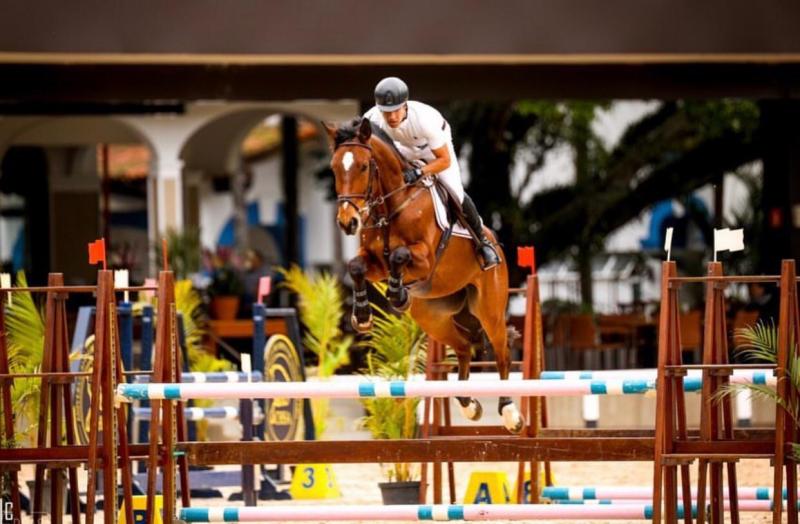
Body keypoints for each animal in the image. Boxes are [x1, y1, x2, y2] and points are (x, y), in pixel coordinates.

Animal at [324, 118, 524, 434]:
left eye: (364, 167)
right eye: (334, 168)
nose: (348, 222)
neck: (392, 204)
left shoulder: (425, 259)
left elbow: (399, 256)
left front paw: (397, 294)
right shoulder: (374, 264)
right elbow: (356, 266)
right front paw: (363, 314)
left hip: (489, 309)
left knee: (502, 352)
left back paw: (509, 412)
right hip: (432, 318)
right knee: (464, 347)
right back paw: (468, 404)